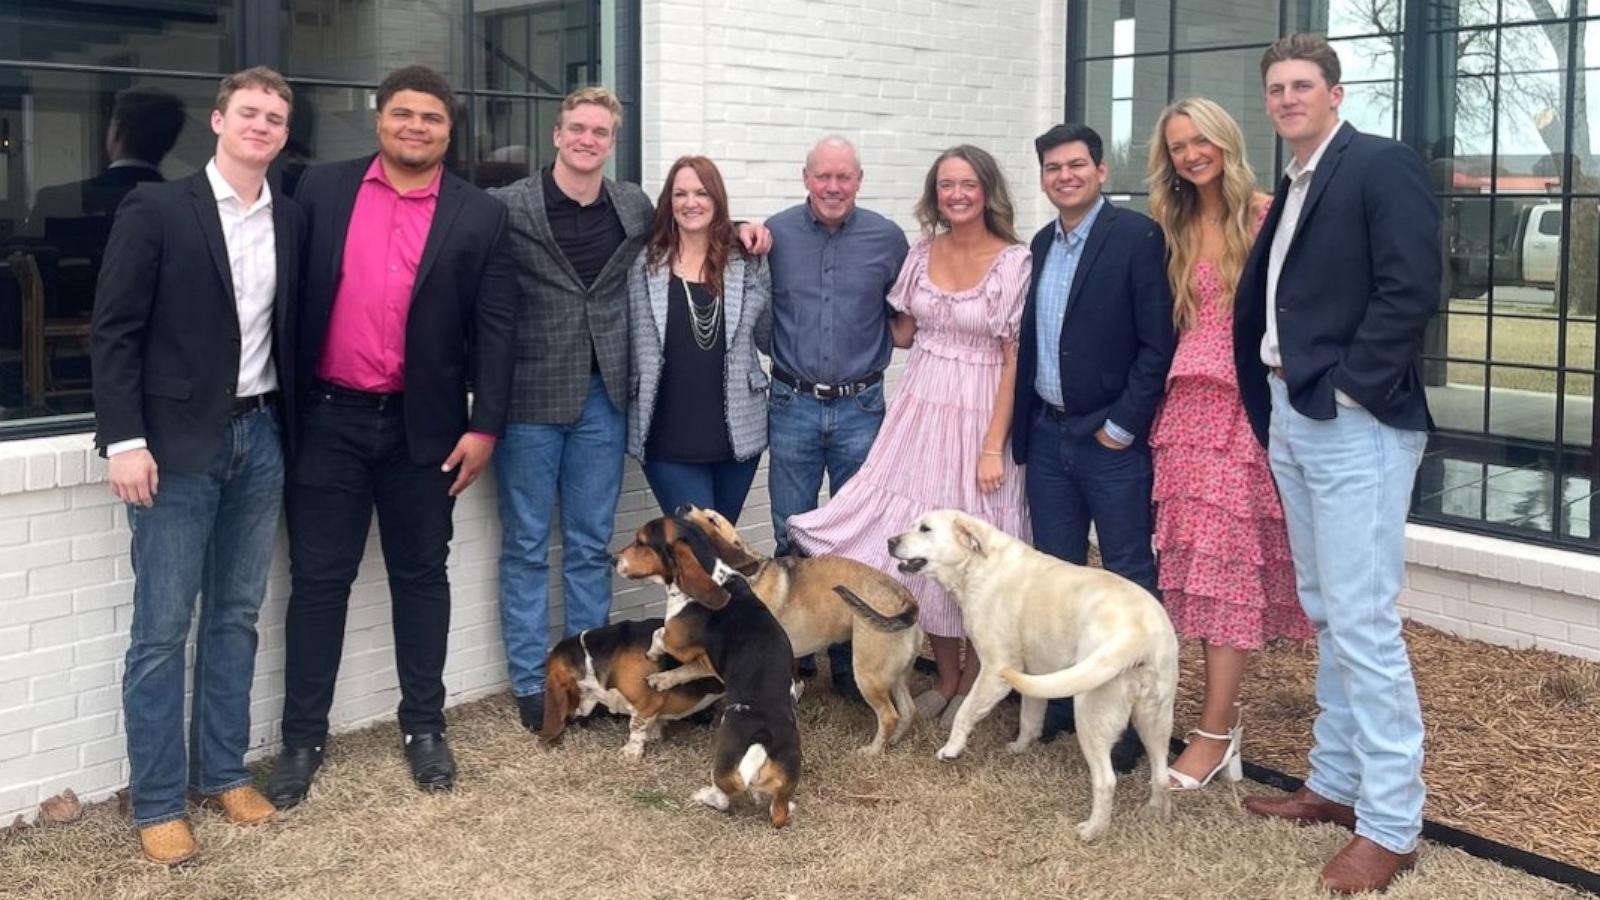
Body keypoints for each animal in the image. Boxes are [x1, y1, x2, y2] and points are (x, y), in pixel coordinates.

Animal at [678, 506, 928, 749]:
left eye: (712, 520)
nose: (684, 506)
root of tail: (906, 599)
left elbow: (687, 669)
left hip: (868, 674)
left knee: (889, 716)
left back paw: (872, 751)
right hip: (897, 675)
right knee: (908, 710)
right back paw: (893, 741)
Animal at [889, 512, 1177, 839]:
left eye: (925, 529)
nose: (890, 541)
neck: (978, 566)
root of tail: (1140, 633)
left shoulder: (996, 670)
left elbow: (965, 713)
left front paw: (951, 749)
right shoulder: (1035, 673)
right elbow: (1030, 717)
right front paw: (1019, 747)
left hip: (1091, 714)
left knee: (1106, 781)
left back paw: (1092, 830)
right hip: (1155, 719)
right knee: (1161, 775)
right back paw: (1156, 814)